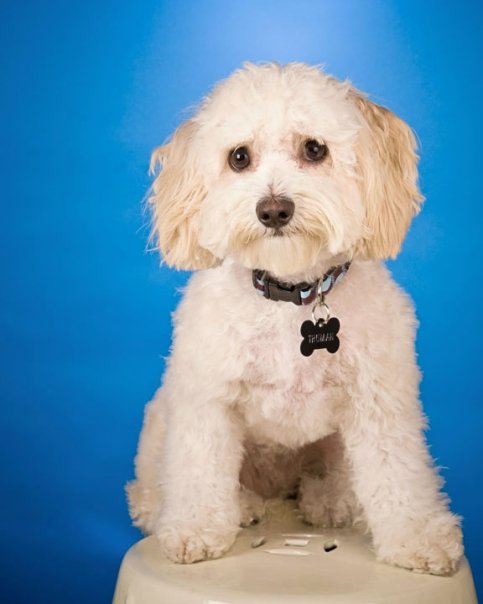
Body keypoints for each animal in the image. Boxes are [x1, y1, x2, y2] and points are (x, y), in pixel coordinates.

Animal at [125, 62, 466, 576]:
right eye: (239, 157)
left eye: (314, 149)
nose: (273, 209)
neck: (293, 297)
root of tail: (276, 485)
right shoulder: (207, 401)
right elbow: (200, 468)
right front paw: (195, 528)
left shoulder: (380, 401)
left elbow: (398, 471)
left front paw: (419, 536)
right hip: (162, 416)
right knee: (154, 487)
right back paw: (232, 504)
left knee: (339, 478)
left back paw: (330, 499)